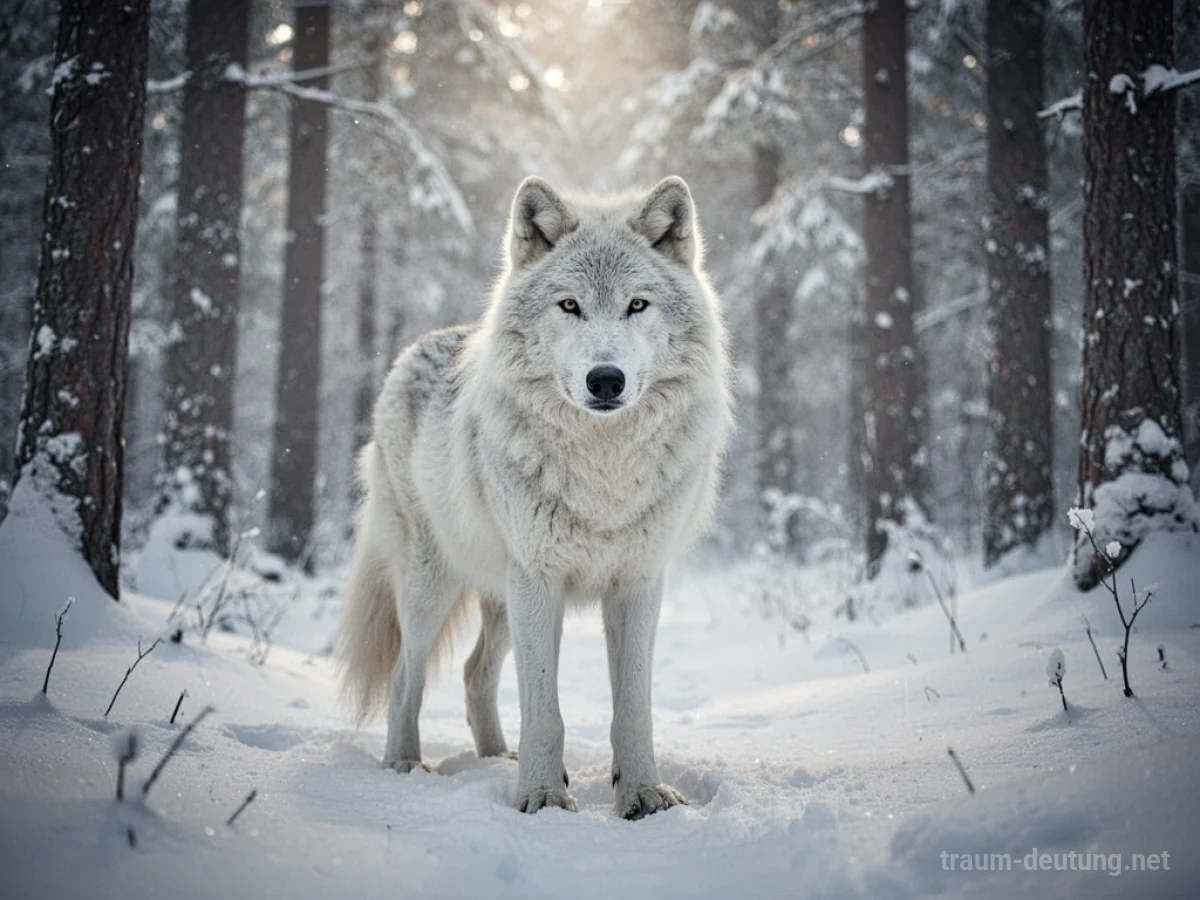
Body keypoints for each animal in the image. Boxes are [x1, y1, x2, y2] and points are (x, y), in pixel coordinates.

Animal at [337, 175, 733, 818]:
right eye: (569, 305)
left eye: (637, 305)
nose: (606, 380)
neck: (603, 471)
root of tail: (416, 348)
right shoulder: (540, 580)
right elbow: (544, 709)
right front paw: (544, 796)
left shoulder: (639, 582)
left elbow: (633, 709)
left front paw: (642, 793)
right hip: (436, 582)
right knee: (405, 672)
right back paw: (404, 765)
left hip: (502, 597)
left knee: (475, 672)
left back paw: (497, 758)